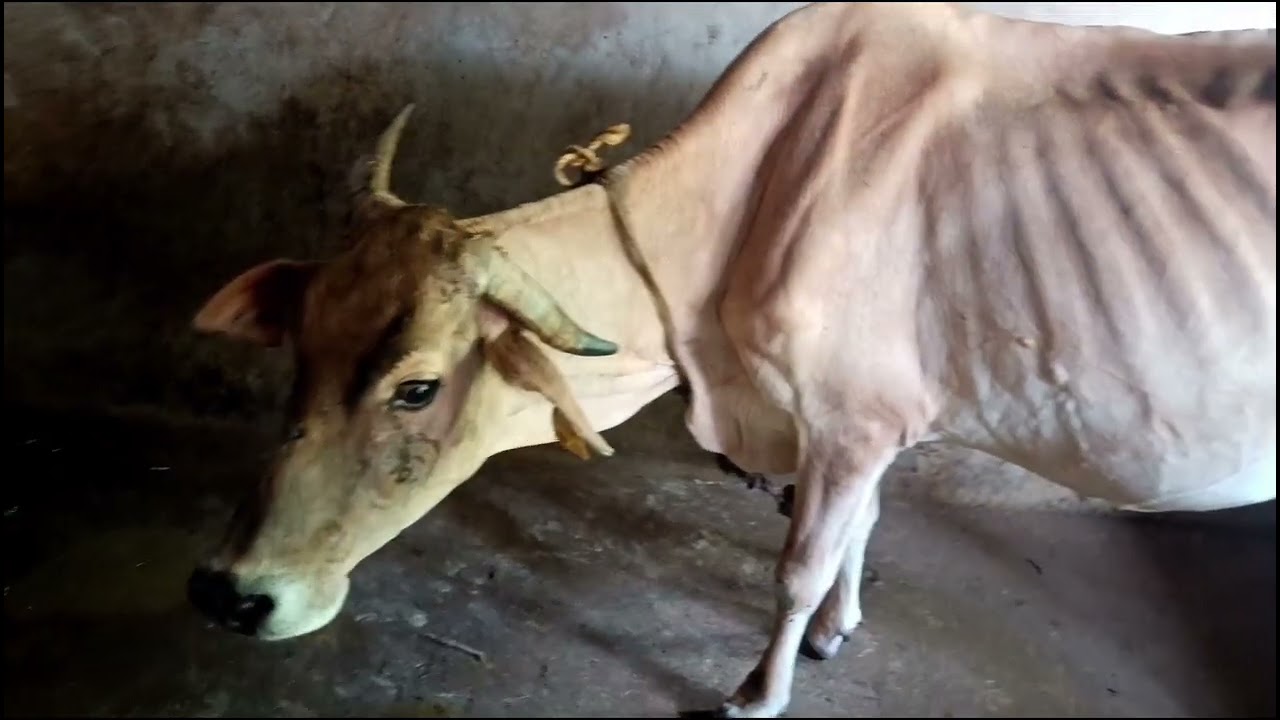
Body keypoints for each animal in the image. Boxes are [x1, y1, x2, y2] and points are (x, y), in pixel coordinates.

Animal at [185, 3, 1276, 717]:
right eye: (301, 348)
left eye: (415, 386)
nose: (232, 594)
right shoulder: (862, 424)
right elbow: (858, 529)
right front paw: (838, 628)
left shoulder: (850, 421)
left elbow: (797, 564)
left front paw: (757, 693)